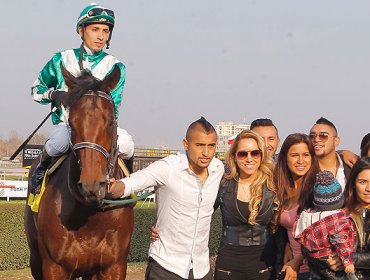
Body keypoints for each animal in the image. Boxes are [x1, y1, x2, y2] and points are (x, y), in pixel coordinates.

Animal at [24, 66, 134, 280]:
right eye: (72, 124)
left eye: (110, 122)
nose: (92, 186)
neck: (90, 217)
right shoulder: (54, 266)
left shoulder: (114, 266)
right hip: (35, 256)